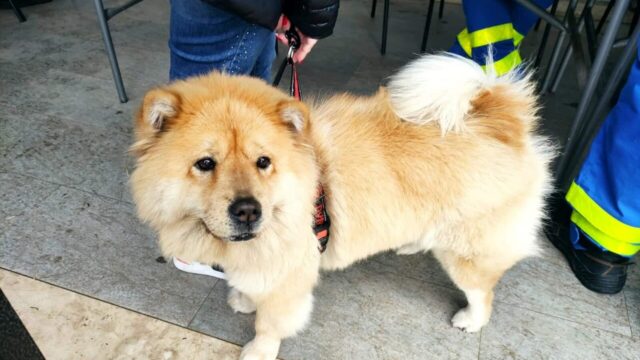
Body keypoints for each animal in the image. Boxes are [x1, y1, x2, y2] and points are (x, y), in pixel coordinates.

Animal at [131, 54, 556, 360]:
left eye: (263, 162)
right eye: (206, 164)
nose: (249, 210)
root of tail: (503, 122)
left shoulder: (288, 277)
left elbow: (270, 324)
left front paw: (257, 351)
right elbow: (252, 289)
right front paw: (244, 300)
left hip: (467, 251)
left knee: (482, 292)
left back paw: (470, 320)